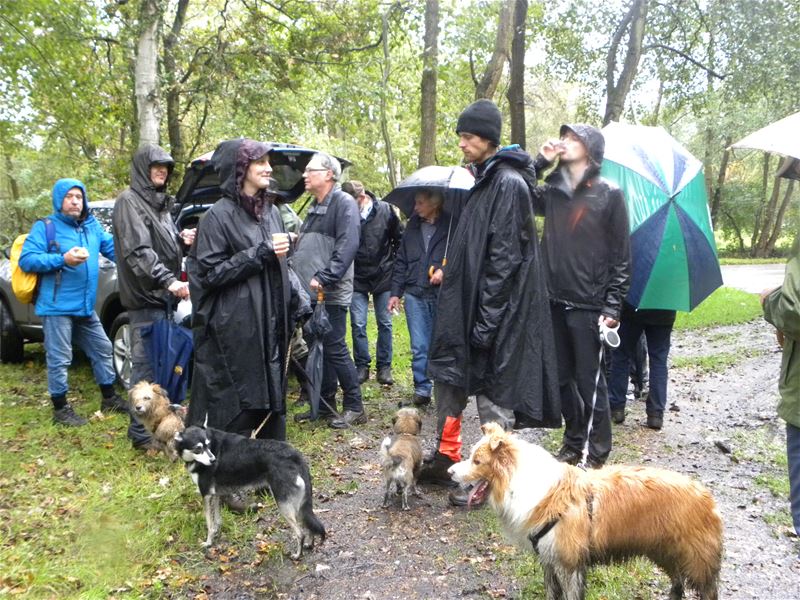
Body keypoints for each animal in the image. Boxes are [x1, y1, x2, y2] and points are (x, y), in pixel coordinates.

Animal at [450, 422, 724, 600]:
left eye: (477, 461)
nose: (449, 472)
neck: (522, 484)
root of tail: (705, 494)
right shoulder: (549, 559)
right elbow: (552, 594)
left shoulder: (569, 564)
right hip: (664, 551)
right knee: (677, 584)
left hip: (696, 560)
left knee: (706, 590)